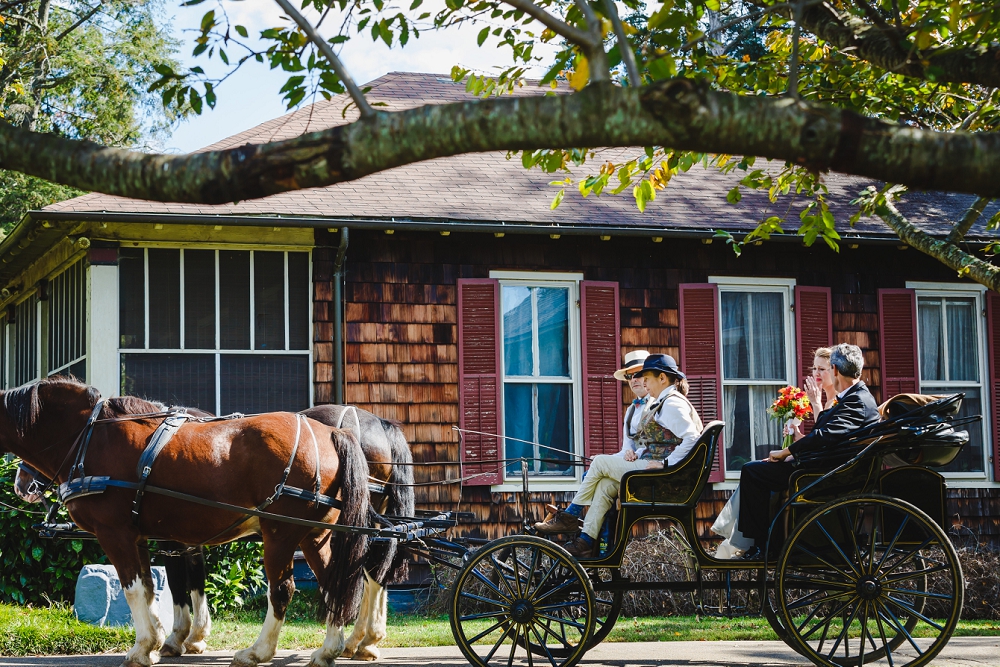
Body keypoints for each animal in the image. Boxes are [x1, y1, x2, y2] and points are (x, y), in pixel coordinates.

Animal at [0, 378, 372, 667]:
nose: (20, 484)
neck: (89, 437)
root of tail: (331, 432)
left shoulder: (116, 534)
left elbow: (136, 588)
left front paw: (144, 647)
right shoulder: (143, 536)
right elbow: (154, 587)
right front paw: (159, 643)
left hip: (280, 533)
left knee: (283, 590)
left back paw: (258, 652)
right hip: (315, 535)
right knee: (336, 583)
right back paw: (328, 650)